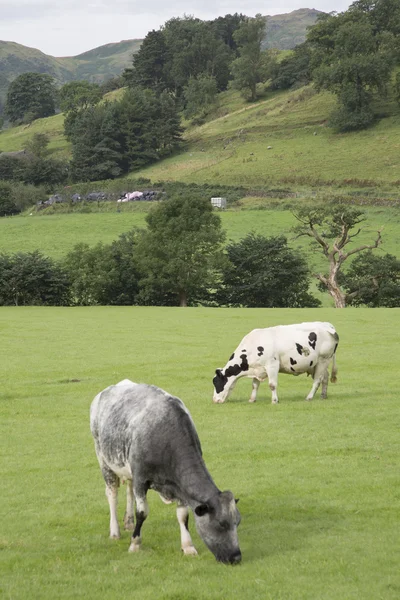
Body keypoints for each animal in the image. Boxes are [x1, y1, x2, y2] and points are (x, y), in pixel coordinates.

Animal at [90, 380, 241, 564]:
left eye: (237, 522)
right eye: (221, 524)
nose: (236, 556)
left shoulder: (179, 487)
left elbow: (183, 515)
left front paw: (188, 546)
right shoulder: (141, 479)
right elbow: (142, 513)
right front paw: (135, 544)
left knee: (128, 491)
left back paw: (129, 522)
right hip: (103, 460)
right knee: (112, 494)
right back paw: (115, 531)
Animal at [211, 322, 340, 406]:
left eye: (216, 383)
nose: (215, 400)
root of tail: (328, 325)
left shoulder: (272, 365)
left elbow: (272, 385)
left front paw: (274, 401)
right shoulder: (258, 369)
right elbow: (254, 385)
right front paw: (252, 399)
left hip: (323, 360)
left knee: (317, 380)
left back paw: (309, 397)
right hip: (318, 363)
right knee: (325, 377)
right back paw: (323, 396)